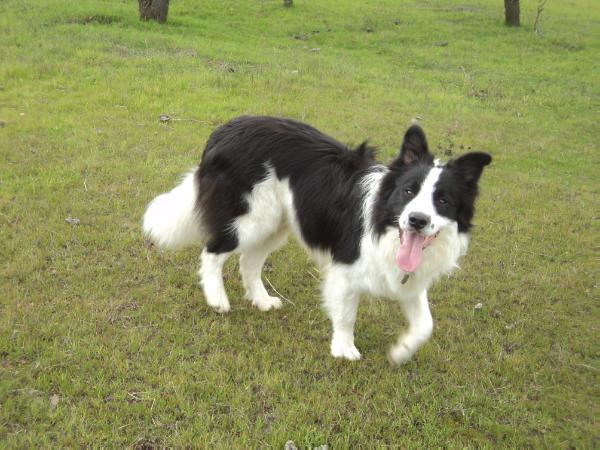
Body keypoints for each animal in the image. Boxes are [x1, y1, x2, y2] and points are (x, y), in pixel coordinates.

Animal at [144, 114, 492, 364]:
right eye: (409, 191)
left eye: (443, 201)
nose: (417, 220)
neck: (384, 223)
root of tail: (225, 129)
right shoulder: (346, 269)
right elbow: (347, 314)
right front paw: (344, 349)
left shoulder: (407, 278)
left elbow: (426, 325)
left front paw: (401, 351)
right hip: (251, 218)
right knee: (213, 252)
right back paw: (217, 300)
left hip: (277, 222)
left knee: (249, 261)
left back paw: (262, 300)